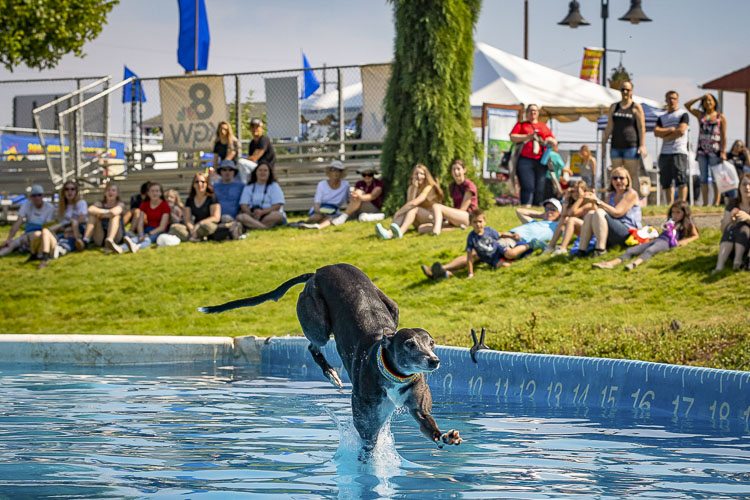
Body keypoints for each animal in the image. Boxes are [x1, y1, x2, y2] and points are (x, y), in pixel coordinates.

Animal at [198, 264, 464, 452]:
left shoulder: (418, 407)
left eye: (431, 342)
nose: (434, 361)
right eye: (410, 344)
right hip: (319, 324)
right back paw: (330, 373)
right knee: (312, 346)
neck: (393, 374)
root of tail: (318, 271)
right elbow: (367, 443)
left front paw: (445, 437)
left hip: (391, 306)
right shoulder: (366, 421)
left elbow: (427, 422)